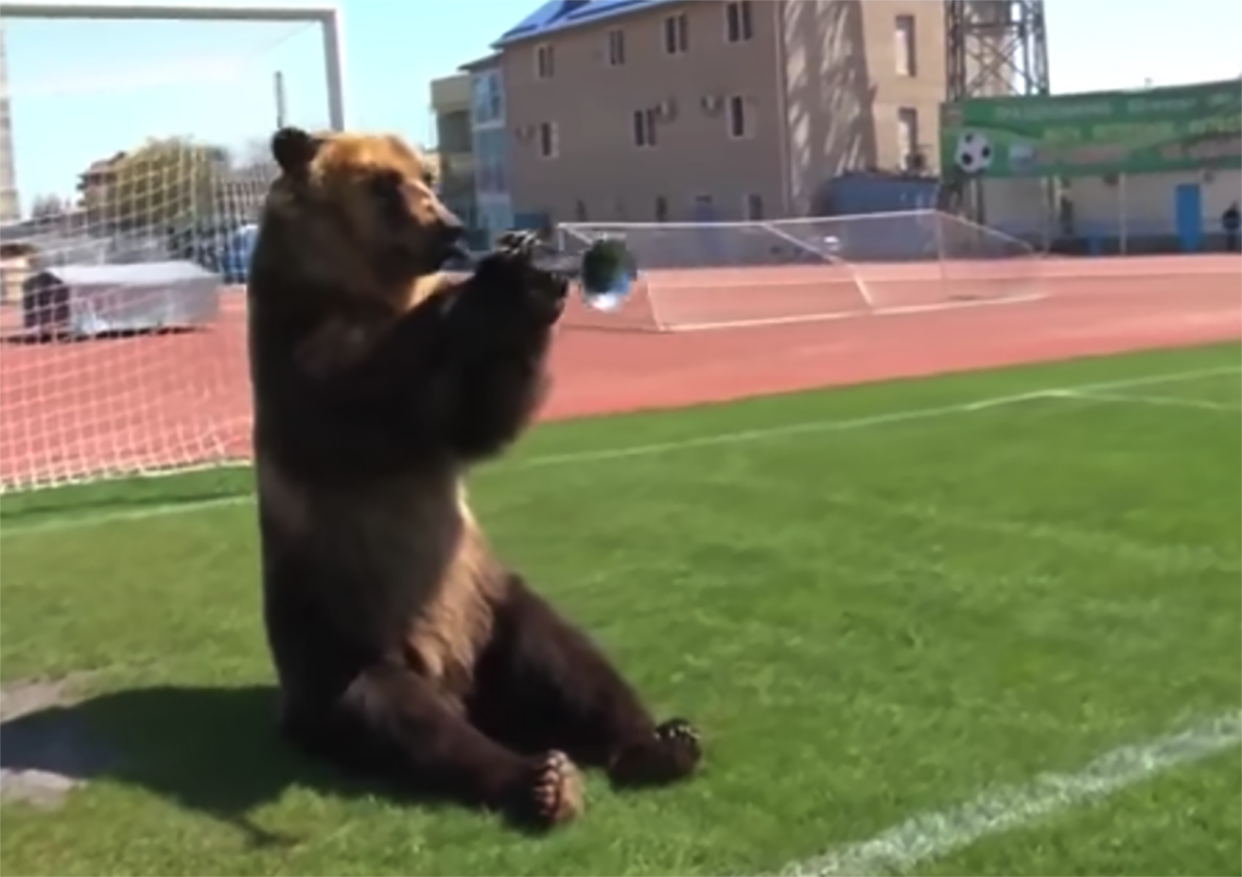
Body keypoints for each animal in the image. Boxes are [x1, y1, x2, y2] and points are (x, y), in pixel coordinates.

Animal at [247, 126, 705, 829]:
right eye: (382, 184)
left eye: (426, 175)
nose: (451, 227)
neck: (362, 287)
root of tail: (455, 681)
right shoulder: (298, 348)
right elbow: (353, 390)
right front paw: (496, 282)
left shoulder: (447, 408)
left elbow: (478, 416)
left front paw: (534, 291)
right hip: (340, 638)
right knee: (395, 716)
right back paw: (540, 780)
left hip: (484, 598)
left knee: (563, 657)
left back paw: (659, 743)